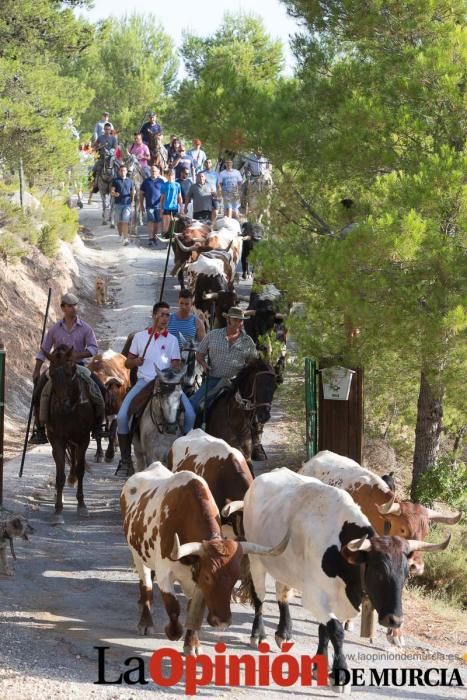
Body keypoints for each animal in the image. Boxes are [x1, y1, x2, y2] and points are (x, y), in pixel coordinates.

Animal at [42, 346, 96, 524]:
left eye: (68, 373)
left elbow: (80, 470)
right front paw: (58, 510)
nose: (62, 404)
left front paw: (82, 505)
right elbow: (59, 476)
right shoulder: (58, 440)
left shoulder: (84, 438)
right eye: (51, 374)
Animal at [119, 464, 288, 656]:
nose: (223, 621)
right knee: (146, 586)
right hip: (138, 555)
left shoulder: (197, 580)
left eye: (235, 579)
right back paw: (145, 622)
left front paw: (192, 643)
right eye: (208, 576)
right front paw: (173, 632)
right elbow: (173, 607)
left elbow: (194, 611)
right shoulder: (165, 573)